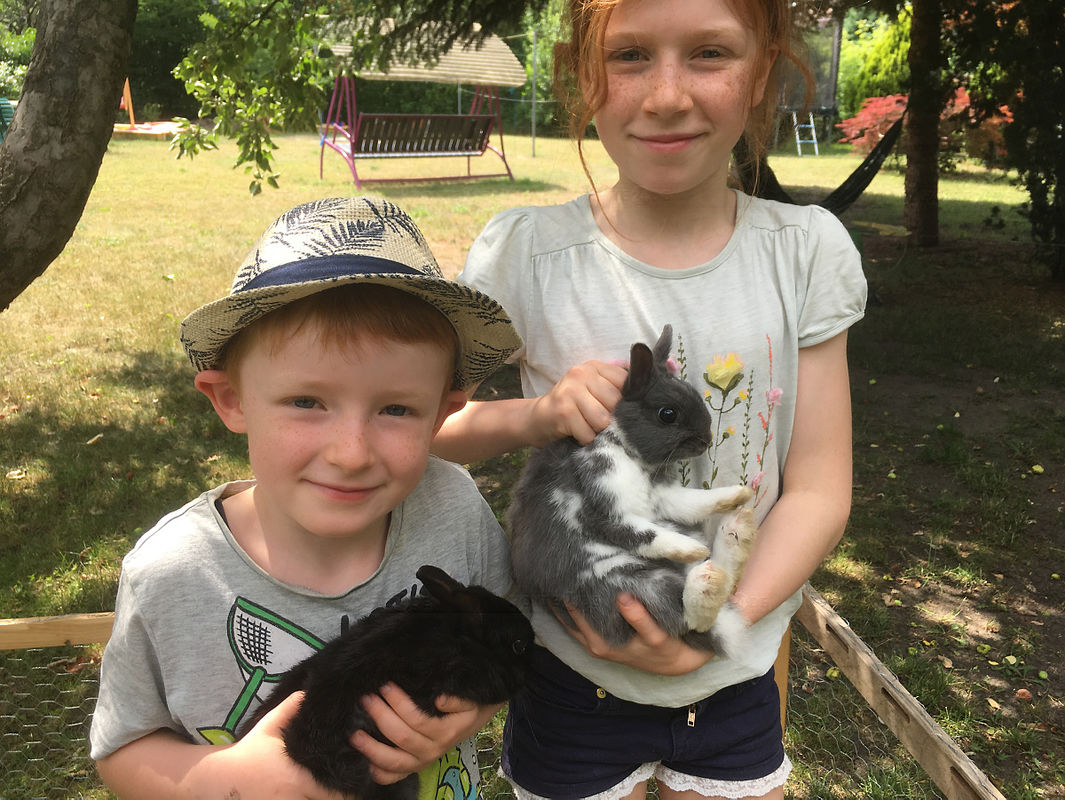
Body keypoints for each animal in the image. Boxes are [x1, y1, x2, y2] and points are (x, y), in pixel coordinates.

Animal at [506, 323, 758, 656]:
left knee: (721, 583)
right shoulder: (602, 512)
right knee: (691, 620)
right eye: (667, 414)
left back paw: (735, 533)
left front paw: (738, 494)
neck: (624, 447)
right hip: (627, 581)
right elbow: (646, 534)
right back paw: (705, 581)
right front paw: (691, 548)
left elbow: (696, 501)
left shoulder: (664, 500)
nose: (706, 441)